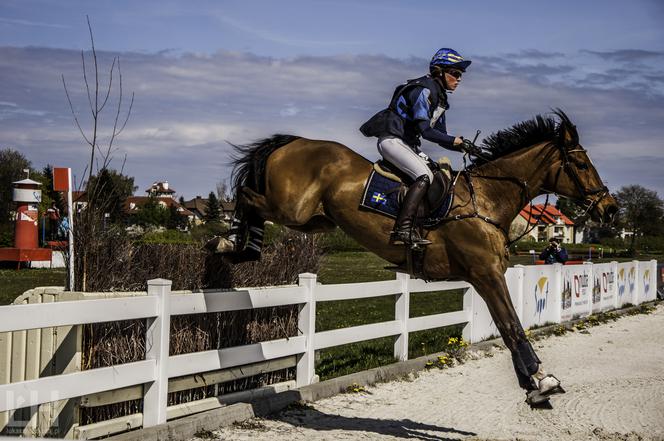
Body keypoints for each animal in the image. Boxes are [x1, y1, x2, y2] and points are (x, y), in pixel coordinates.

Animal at [215, 110, 620, 406]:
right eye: (582, 165)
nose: (611, 209)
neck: (488, 200)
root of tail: (294, 141)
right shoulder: (486, 273)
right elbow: (512, 326)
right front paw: (539, 379)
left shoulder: (486, 275)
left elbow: (509, 326)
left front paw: (532, 382)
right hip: (292, 209)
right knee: (247, 196)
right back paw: (230, 244)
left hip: (316, 220)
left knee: (255, 200)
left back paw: (238, 248)